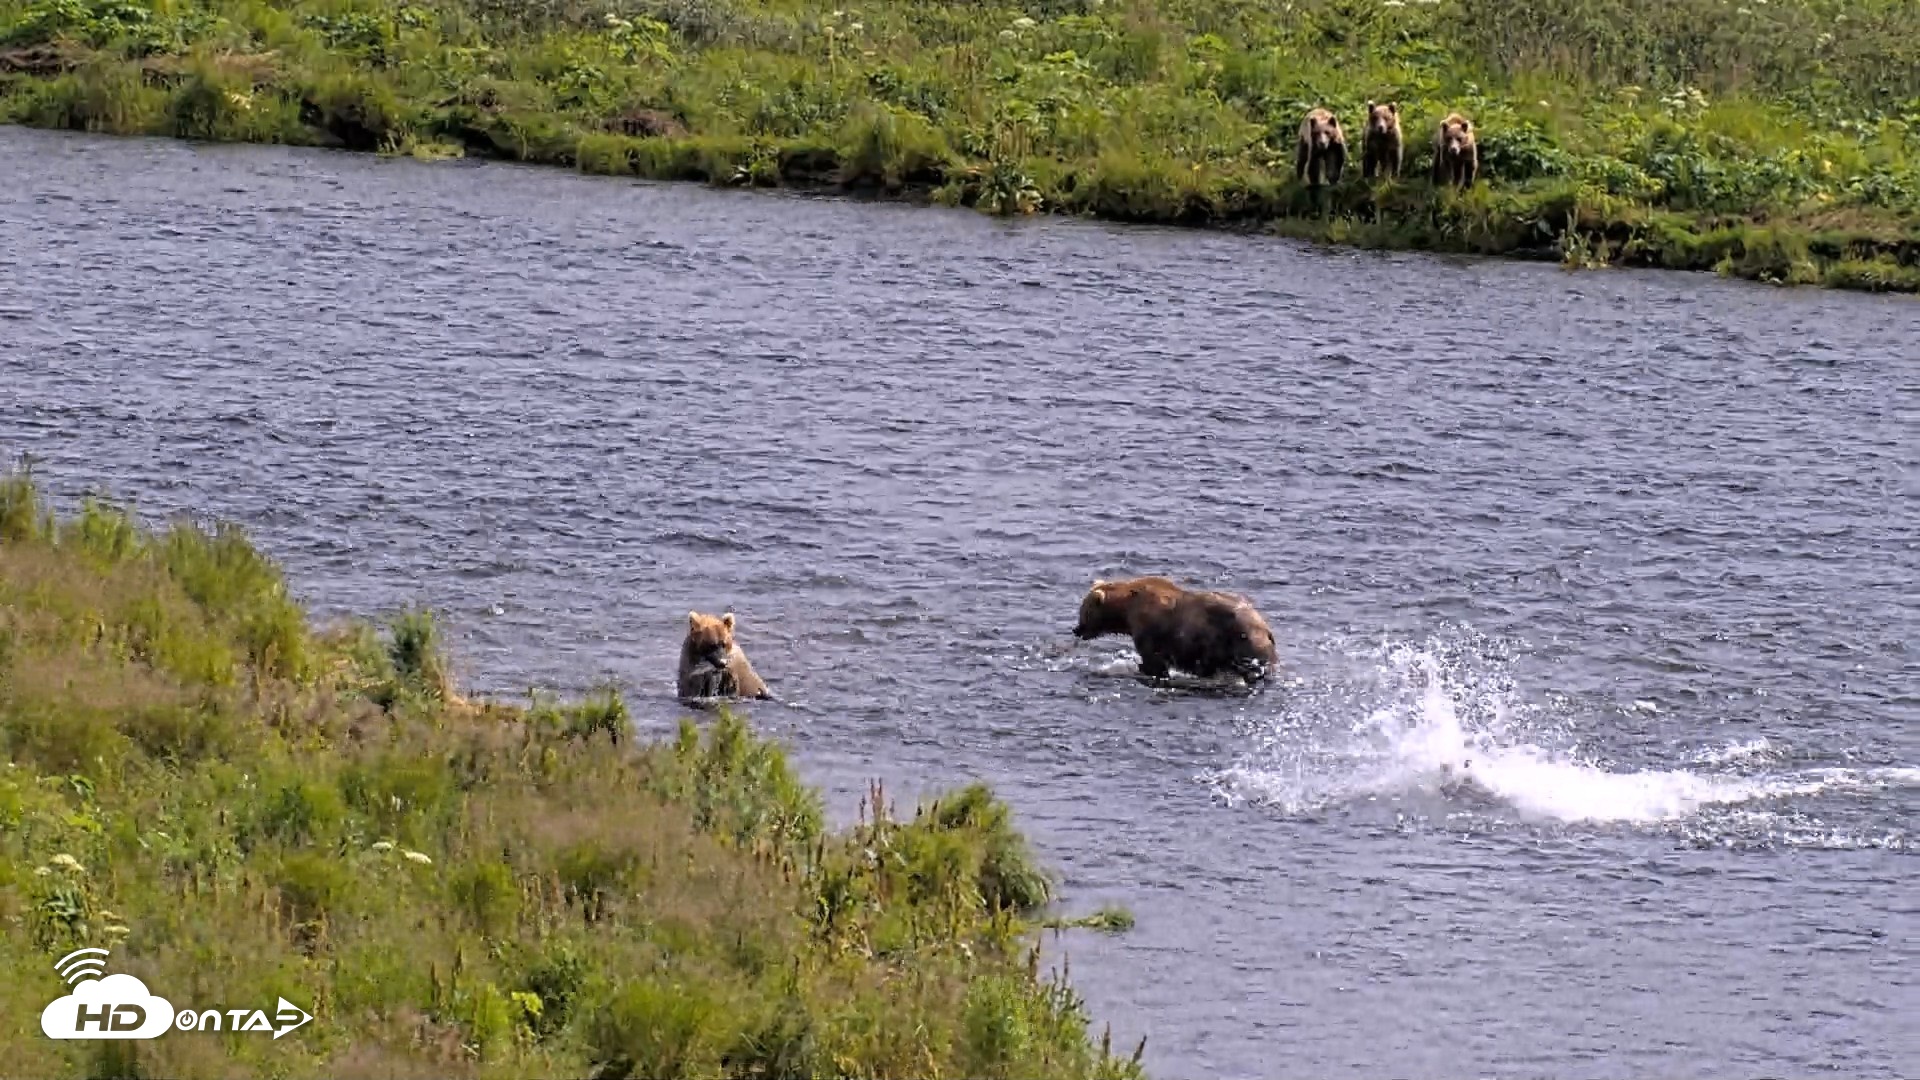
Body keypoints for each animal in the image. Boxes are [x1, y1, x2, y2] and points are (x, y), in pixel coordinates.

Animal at [1072, 576, 1280, 686]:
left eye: (1083, 611)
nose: (1076, 629)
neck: (1127, 610)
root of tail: (1266, 628)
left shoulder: (1151, 629)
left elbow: (1153, 659)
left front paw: (1144, 669)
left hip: (1242, 641)